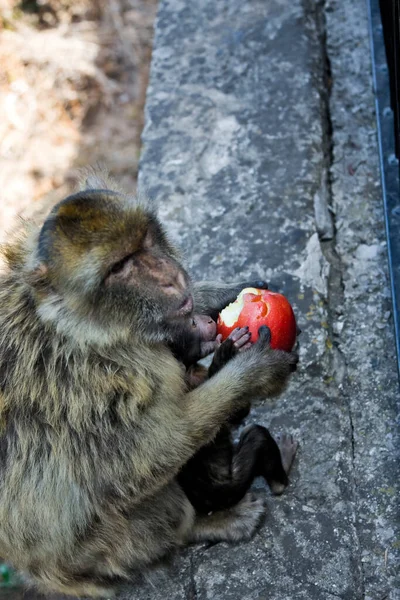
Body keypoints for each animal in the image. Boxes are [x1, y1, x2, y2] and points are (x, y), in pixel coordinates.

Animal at [170, 318, 298, 516]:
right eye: (192, 325)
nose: (208, 321)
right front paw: (228, 352)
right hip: (235, 485)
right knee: (257, 436)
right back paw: (282, 468)